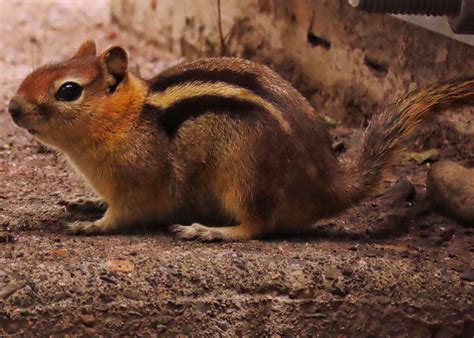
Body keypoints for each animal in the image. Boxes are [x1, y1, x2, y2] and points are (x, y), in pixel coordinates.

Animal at [7, 41, 474, 242]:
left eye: (68, 91)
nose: (11, 108)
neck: (129, 119)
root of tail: (326, 184)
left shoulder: (137, 187)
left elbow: (122, 216)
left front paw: (92, 224)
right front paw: (85, 203)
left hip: (244, 176)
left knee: (258, 227)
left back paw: (209, 232)